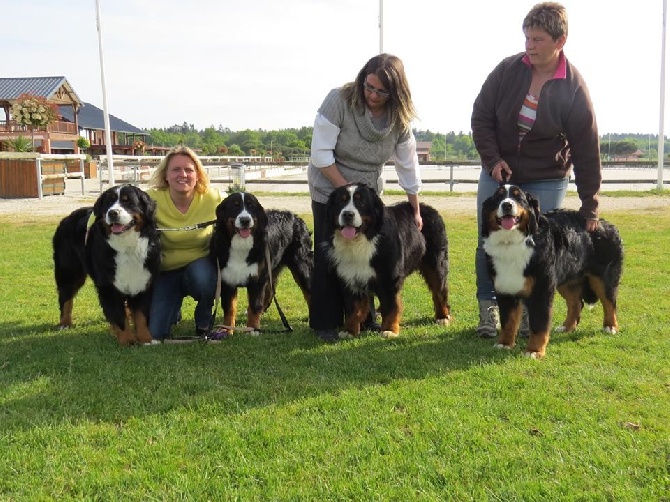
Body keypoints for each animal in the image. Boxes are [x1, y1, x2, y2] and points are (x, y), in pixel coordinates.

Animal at [53, 184, 161, 346]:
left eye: (128, 201)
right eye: (108, 203)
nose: (113, 212)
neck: (127, 248)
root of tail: (67, 217)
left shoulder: (143, 282)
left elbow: (141, 316)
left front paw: (146, 339)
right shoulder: (108, 287)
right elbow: (118, 316)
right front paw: (128, 340)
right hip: (69, 271)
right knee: (66, 298)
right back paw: (65, 323)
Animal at [210, 190, 316, 332]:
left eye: (251, 206)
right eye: (235, 206)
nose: (245, 220)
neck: (241, 245)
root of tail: (296, 217)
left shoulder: (257, 280)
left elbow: (255, 306)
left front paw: (253, 329)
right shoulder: (227, 279)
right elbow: (229, 308)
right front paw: (226, 330)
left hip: (302, 266)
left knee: (309, 291)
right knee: (271, 291)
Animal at [324, 182, 454, 340]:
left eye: (361, 202)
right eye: (341, 202)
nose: (348, 214)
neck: (363, 241)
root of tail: (428, 208)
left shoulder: (389, 278)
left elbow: (392, 306)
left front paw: (390, 330)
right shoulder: (350, 277)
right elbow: (354, 308)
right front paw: (349, 330)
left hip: (436, 264)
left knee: (439, 290)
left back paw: (443, 316)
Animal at [484, 183, 624, 356]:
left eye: (518, 198)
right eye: (498, 197)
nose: (507, 205)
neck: (512, 242)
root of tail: (608, 224)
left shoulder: (541, 289)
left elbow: (539, 323)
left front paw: (534, 350)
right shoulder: (505, 288)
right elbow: (508, 321)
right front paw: (504, 344)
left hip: (604, 278)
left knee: (610, 302)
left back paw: (611, 326)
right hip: (567, 279)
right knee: (576, 303)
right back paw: (567, 327)